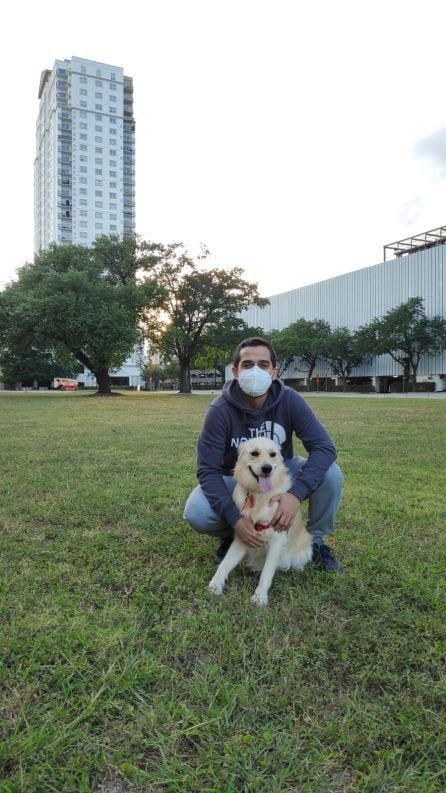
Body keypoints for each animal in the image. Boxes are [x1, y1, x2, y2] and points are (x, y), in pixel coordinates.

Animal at [208, 436, 310, 604]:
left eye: (273, 454)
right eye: (254, 453)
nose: (267, 468)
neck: (259, 495)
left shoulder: (276, 540)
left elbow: (266, 573)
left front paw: (260, 596)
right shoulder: (242, 536)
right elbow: (224, 564)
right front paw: (215, 585)